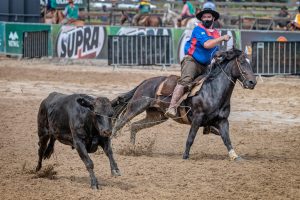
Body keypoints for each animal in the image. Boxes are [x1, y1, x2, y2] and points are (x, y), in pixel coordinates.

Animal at [111, 48, 256, 161]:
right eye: (242, 62)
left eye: (250, 63)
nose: (252, 82)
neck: (213, 90)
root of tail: (145, 82)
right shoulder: (197, 118)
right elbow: (190, 137)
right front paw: (185, 156)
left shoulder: (223, 120)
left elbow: (226, 139)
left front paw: (235, 156)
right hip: (136, 107)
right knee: (120, 123)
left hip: (157, 117)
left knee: (134, 126)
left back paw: (132, 148)